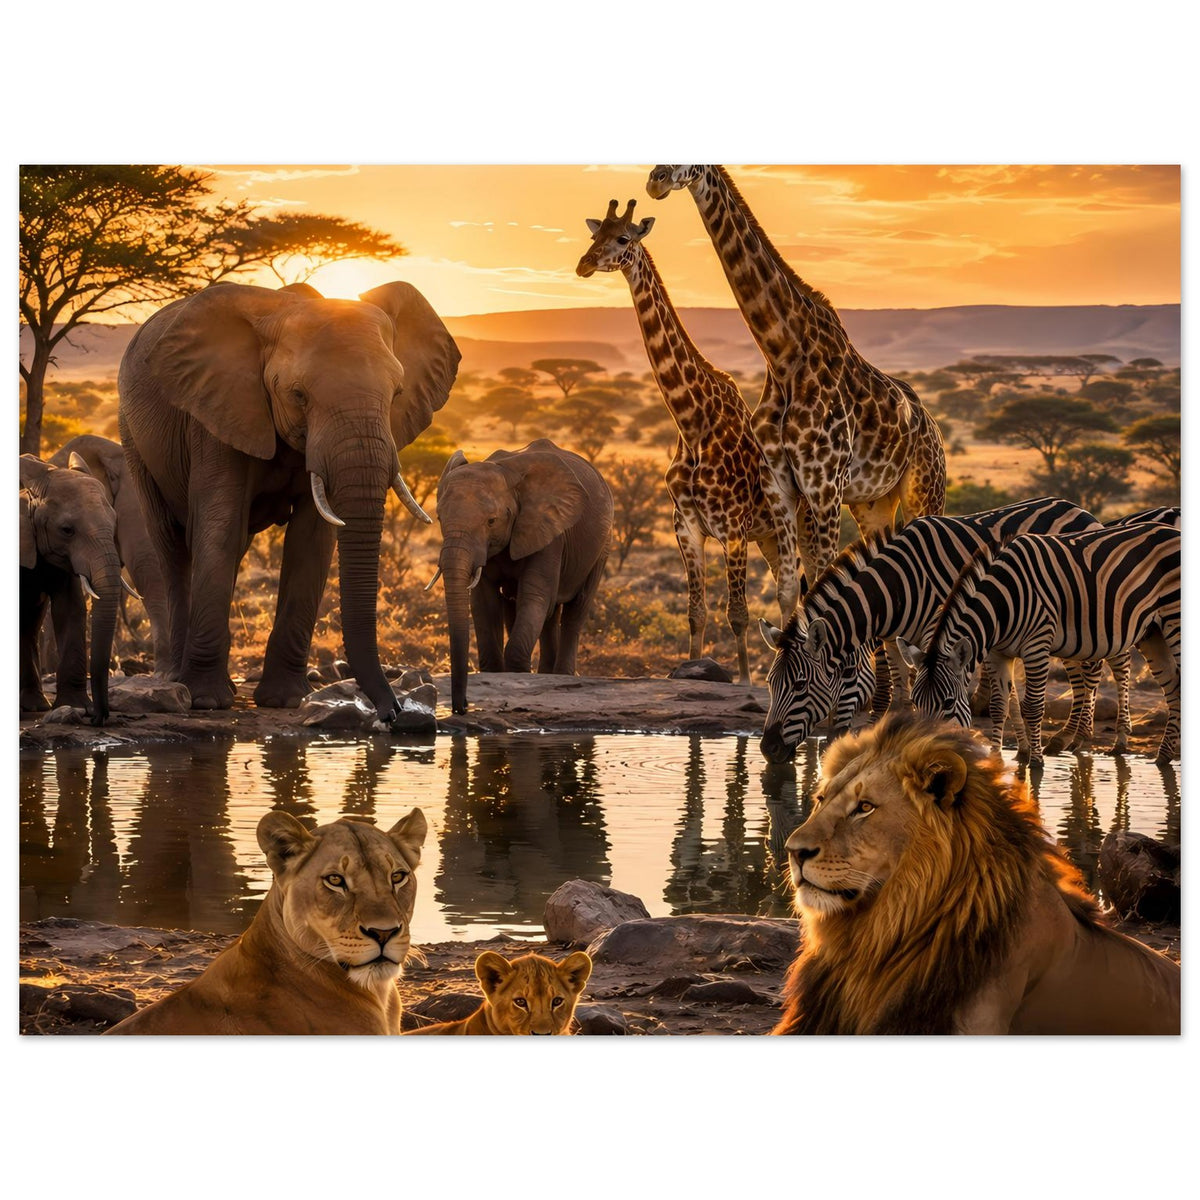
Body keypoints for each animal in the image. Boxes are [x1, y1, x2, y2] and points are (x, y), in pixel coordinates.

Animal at [757, 497, 1100, 763]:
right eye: (770, 683)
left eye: (800, 685)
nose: (767, 749)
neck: (897, 587)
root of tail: (1078, 508)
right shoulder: (897, 640)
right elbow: (902, 694)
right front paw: (1024, 749)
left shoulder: (940, 633)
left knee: (1090, 670)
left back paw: (1075, 738)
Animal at [904, 522, 1180, 765]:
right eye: (915, 703)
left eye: (948, 702)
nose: (922, 754)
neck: (1001, 604)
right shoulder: (997, 653)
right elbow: (998, 706)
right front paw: (996, 760)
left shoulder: (1036, 646)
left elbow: (1034, 707)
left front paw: (1036, 762)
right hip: (1151, 632)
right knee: (1173, 686)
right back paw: (1163, 757)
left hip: (1173, 619)